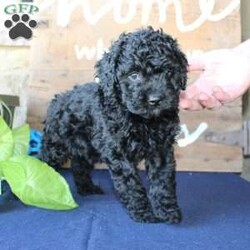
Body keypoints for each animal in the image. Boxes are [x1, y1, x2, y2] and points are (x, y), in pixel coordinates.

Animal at [39, 26, 188, 223]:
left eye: (169, 73)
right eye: (134, 75)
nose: (155, 100)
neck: (142, 120)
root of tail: (58, 100)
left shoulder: (161, 150)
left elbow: (163, 180)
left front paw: (167, 210)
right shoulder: (119, 153)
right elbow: (131, 183)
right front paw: (142, 212)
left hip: (87, 147)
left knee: (79, 165)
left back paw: (87, 188)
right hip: (56, 144)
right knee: (43, 160)